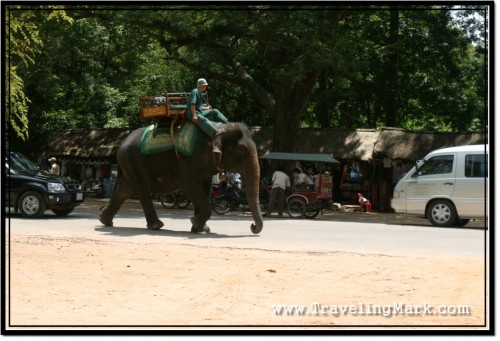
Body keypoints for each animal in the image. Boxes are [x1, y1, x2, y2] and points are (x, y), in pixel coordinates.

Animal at [95, 121, 264, 234]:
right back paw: (156, 226)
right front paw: (196, 224)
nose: (252, 227)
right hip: (132, 162)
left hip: (130, 165)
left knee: (125, 190)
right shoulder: (189, 160)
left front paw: (200, 229)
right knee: (140, 191)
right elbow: (190, 187)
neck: (217, 129)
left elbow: (206, 188)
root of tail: (121, 145)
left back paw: (104, 220)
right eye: (241, 151)